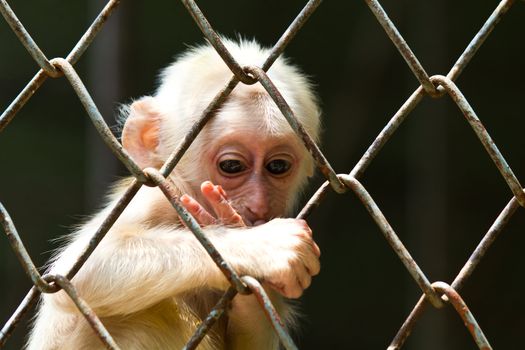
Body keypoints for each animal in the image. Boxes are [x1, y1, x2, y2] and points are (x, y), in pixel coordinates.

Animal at [26, 39, 322, 350]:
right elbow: (79, 273)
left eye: (277, 167)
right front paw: (261, 247)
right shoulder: (153, 198)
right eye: (232, 166)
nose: (258, 204)